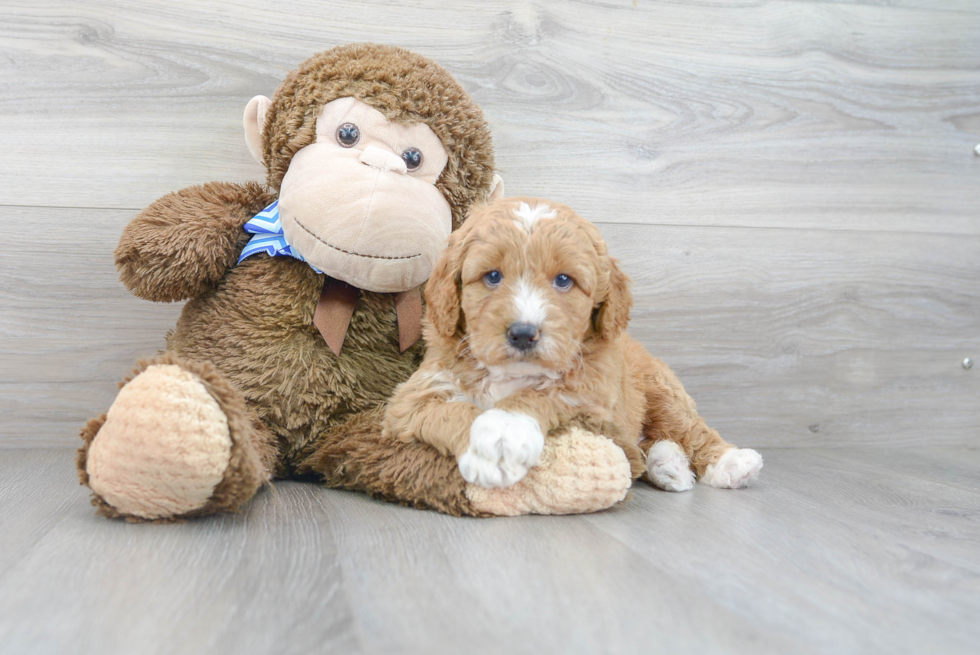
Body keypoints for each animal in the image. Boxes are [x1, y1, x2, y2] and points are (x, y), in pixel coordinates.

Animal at [384, 197, 764, 494]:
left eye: (564, 280)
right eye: (492, 276)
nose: (523, 333)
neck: (511, 375)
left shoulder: (592, 394)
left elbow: (542, 394)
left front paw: (504, 432)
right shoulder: (412, 400)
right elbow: (451, 411)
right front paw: (487, 449)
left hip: (662, 389)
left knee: (689, 429)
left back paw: (730, 462)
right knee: (643, 448)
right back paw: (669, 464)